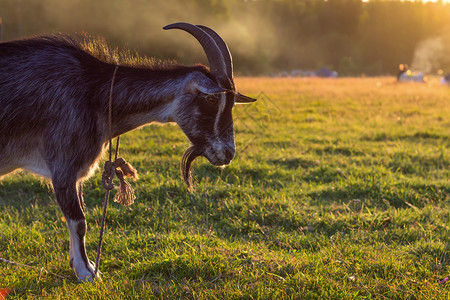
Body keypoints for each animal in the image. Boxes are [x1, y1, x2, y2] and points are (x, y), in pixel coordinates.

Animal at [0, 21, 256, 282]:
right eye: (212, 100)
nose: (228, 153)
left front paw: (81, 264)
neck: (94, 91)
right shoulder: (63, 165)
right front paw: (87, 272)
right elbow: (79, 221)